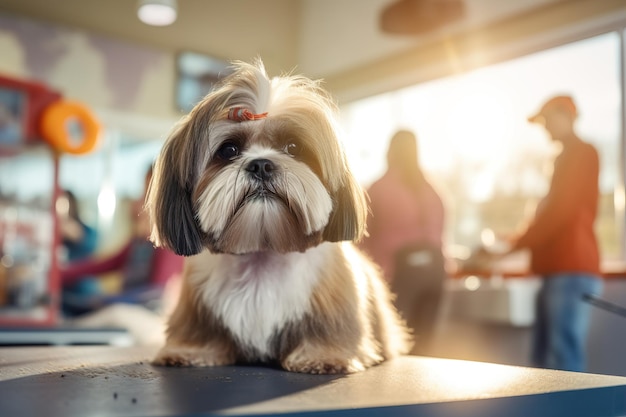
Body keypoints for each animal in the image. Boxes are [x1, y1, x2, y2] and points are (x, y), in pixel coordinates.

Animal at [146, 59, 410, 374]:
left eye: (293, 147)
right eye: (229, 150)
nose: (261, 164)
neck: (263, 252)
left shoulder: (331, 304)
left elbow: (328, 332)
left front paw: (324, 357)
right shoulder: (197, 303)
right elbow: (199, 331)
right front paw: (188, 351)